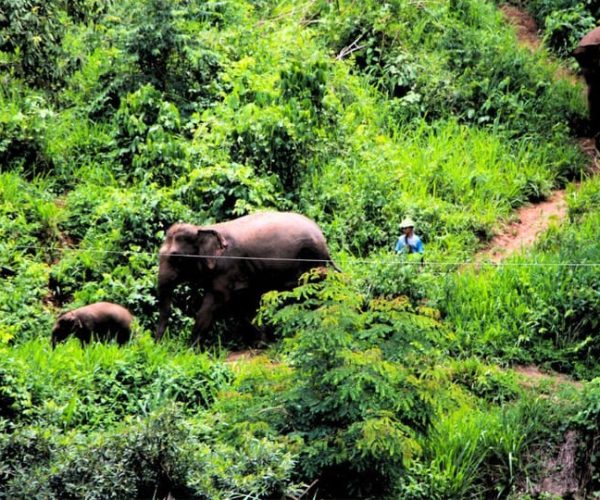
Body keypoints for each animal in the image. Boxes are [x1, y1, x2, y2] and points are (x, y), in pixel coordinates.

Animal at [155, 210, 338, 344]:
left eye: (177, 258)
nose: (159, 346)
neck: (202, 228)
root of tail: (323, 240)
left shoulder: (227, 269)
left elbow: (215, 303)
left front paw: (190, 349)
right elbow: (243, 305)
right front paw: (261, 343)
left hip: (311, 263)